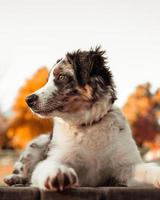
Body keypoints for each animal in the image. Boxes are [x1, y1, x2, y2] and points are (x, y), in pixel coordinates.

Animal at [3, 46, 160, 189]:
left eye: (61, 77)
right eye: (48, 80)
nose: (28, 100)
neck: (88, 124)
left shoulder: (125, 165)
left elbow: (146, 168)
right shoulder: (53, 157)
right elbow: (47, 166)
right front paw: (59, 173)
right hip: (37, 142)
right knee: (24, 169)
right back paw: (15, 178)